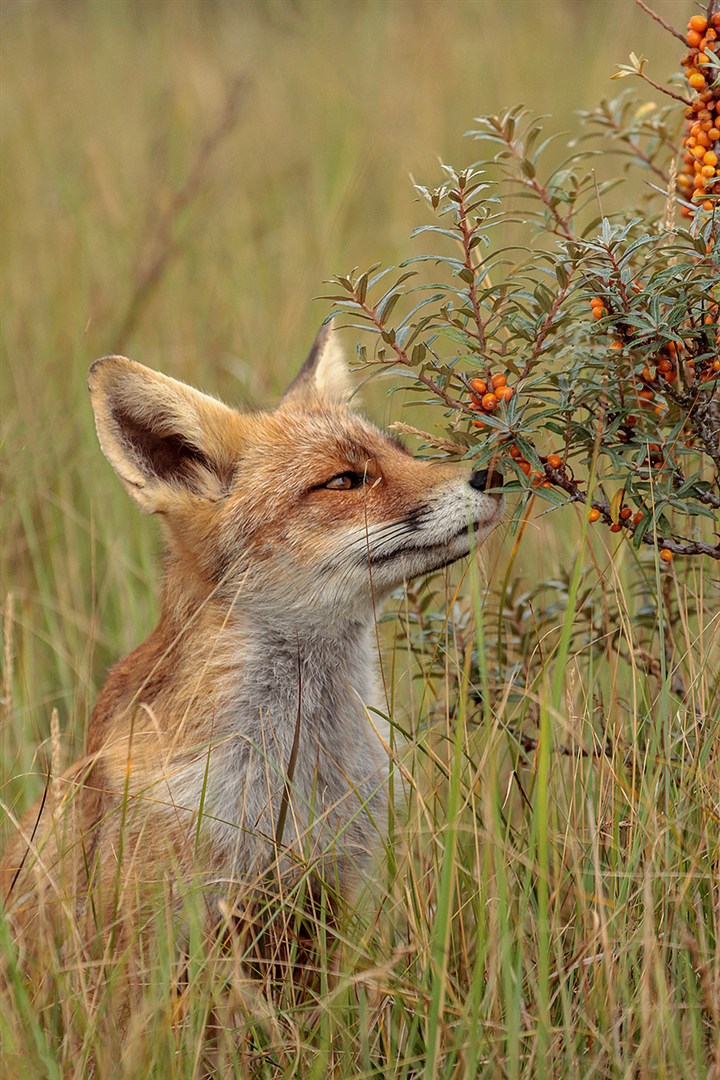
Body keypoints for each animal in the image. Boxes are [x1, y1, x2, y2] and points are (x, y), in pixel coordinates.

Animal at [1, 324, 507, 950]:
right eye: (345, 481)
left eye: (403, 452)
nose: (492, 473)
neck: (296, 777)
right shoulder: (163, 928)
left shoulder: (327, 899)